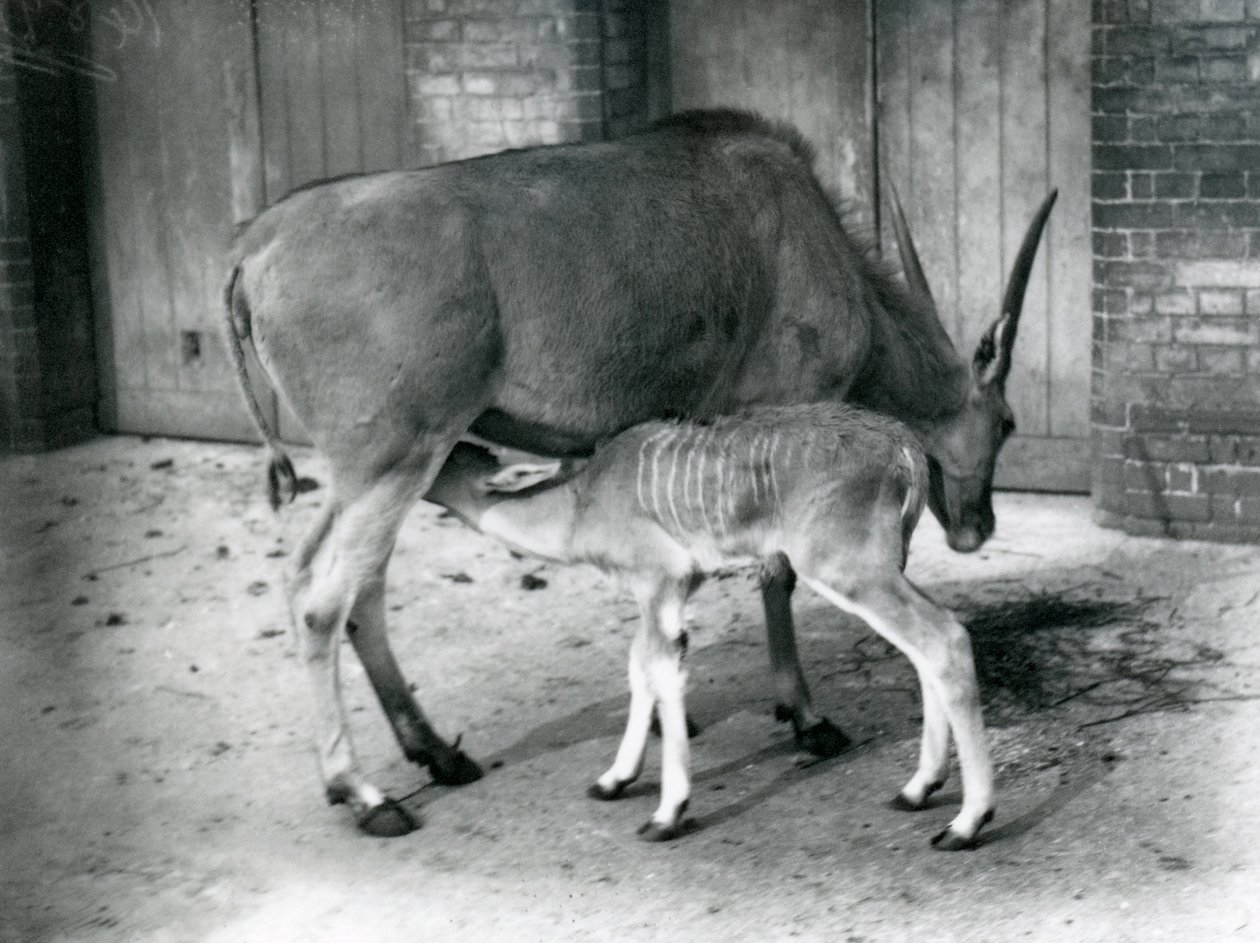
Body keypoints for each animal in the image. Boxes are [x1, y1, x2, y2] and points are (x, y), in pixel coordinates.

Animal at [423, 400, 992, 852]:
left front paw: (666, 813)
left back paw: (966, 823)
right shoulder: (673, 591)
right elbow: (641, 667)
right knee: (925, 646)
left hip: (847, 569)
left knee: (942, 639)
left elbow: (661, 671)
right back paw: (918, 789)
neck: (579, 506)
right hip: (884, 567)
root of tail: (905, 447)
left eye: (444, 459)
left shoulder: (659, 581)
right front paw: (614, 780)